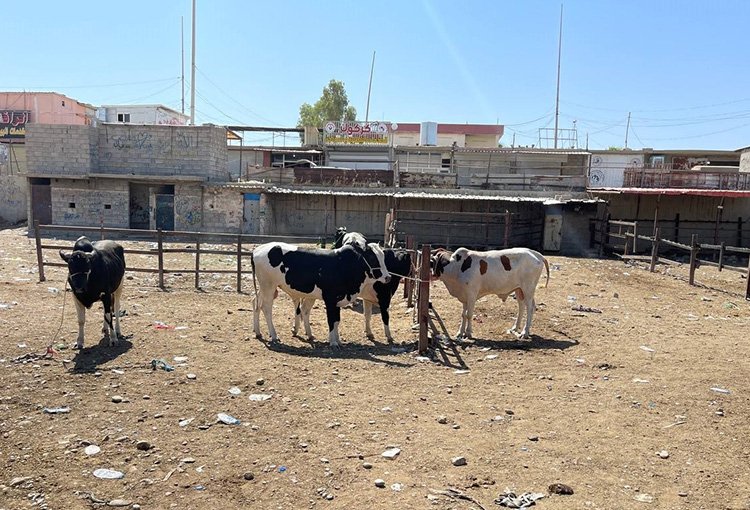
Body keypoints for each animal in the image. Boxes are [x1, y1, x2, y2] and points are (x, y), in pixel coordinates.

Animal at [254, 241, 394, 348]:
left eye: (383, 257)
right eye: (372, 258)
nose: (388, 277)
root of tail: (257, 250)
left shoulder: (338, 299)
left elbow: (337, 320)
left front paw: (338, 341)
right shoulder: (330, 299)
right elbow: (331, 320)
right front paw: (333, 343)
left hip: (264, 288)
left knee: (257, 304)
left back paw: (258, 332)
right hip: (269, 287)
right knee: (266, 309)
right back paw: (274, 336)